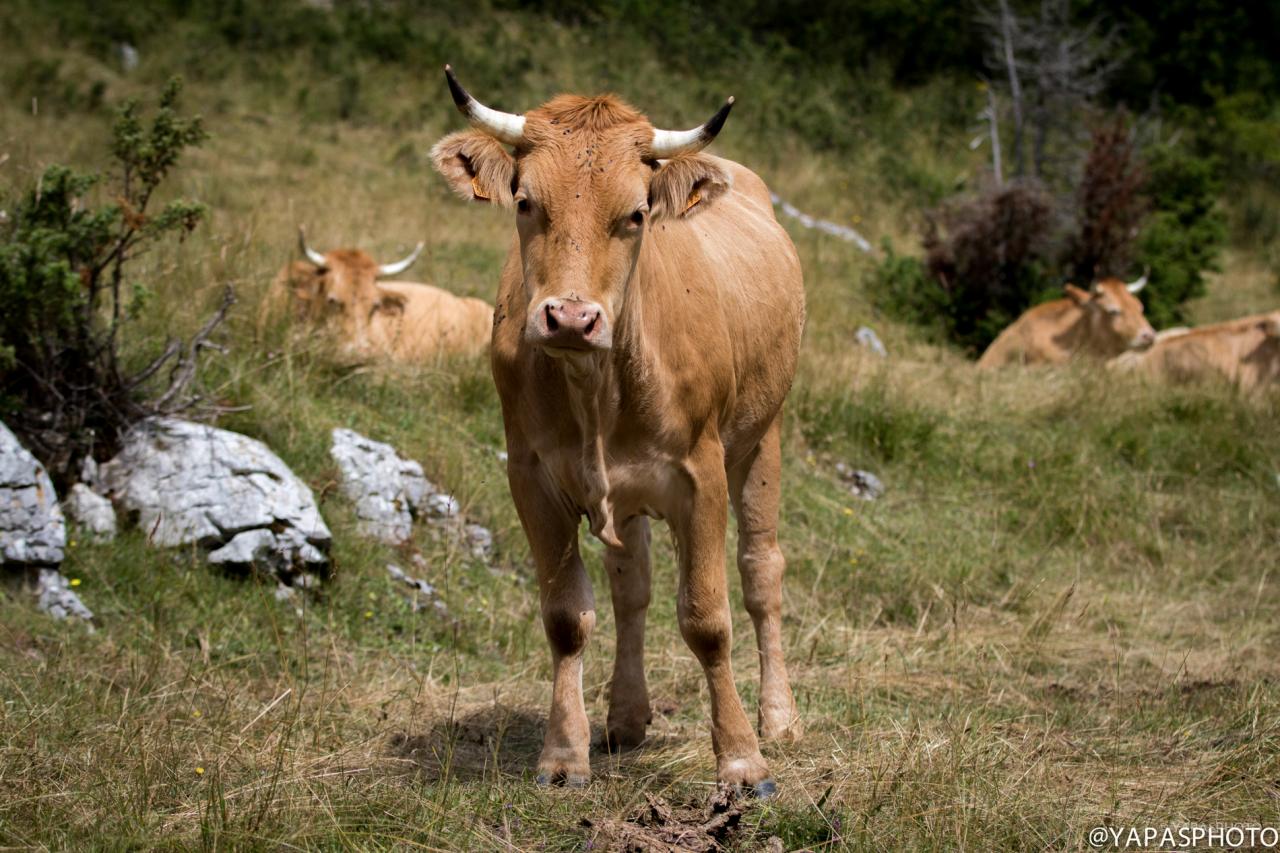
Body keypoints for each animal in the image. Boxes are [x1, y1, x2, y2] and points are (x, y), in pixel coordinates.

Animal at [435, 66, 803, 788]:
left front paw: (742, 757)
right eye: (525, 201)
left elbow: (707, 616)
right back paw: (626, 717)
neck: (595, 385)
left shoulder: (702, 475)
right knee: (632, 587)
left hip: (763, 436)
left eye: (635, 215)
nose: (573, 318)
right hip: (627, 493)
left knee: (760, 573)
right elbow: (566, 617)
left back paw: (780, 718)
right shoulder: (532, 477)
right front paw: (562, 754)